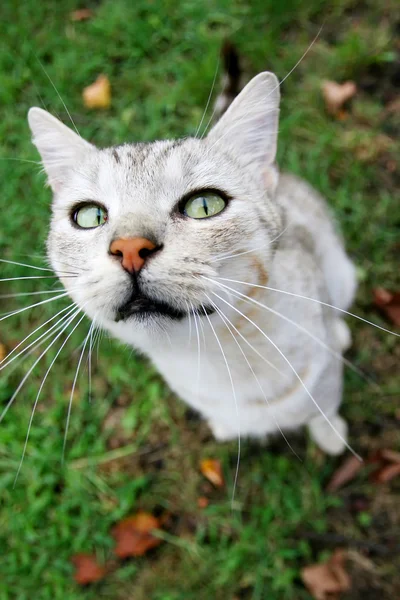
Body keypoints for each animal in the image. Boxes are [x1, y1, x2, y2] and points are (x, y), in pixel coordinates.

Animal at [28, 67, 360, 454]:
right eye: (89, 216)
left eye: (204, 205)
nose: (130, 248)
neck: (215, 358)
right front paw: (226, 428)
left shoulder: (326, 380)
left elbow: (325, 412)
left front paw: (332, 438)